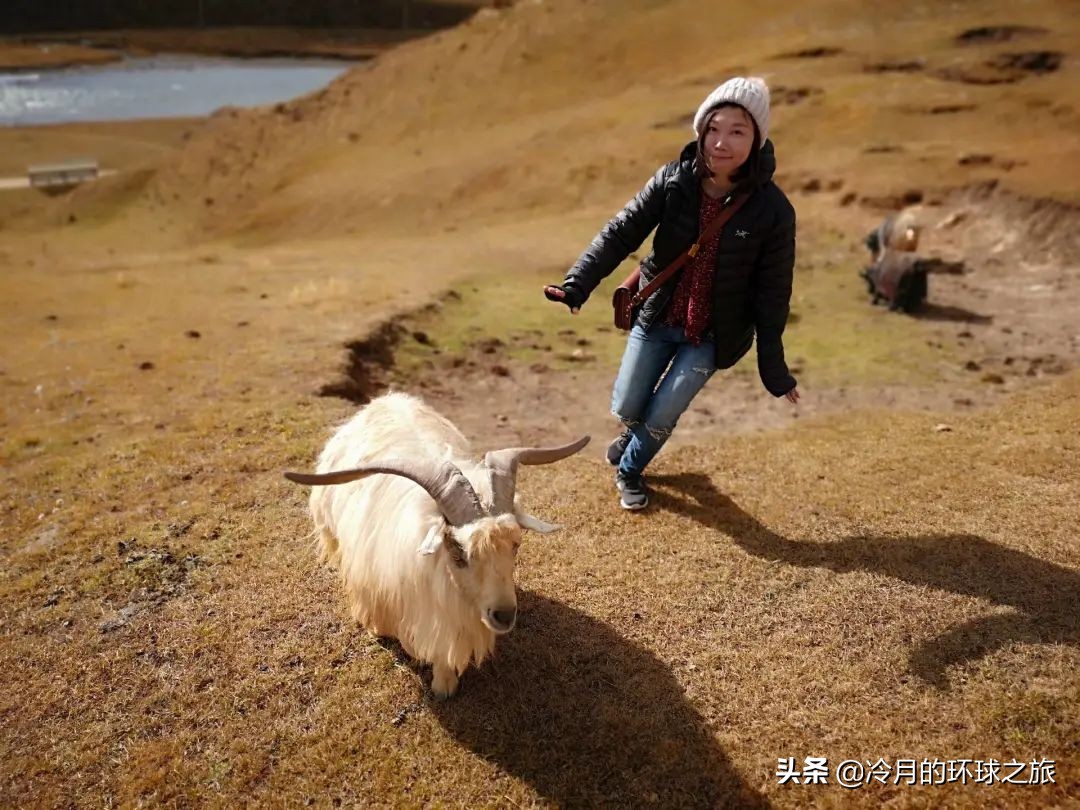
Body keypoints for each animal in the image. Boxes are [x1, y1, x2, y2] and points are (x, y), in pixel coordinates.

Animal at [285, 393, 591, 699]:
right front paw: (378, 630)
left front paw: (444, 683)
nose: (504, 616)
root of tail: (387, 399)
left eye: (516, 545)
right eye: (458, 550)